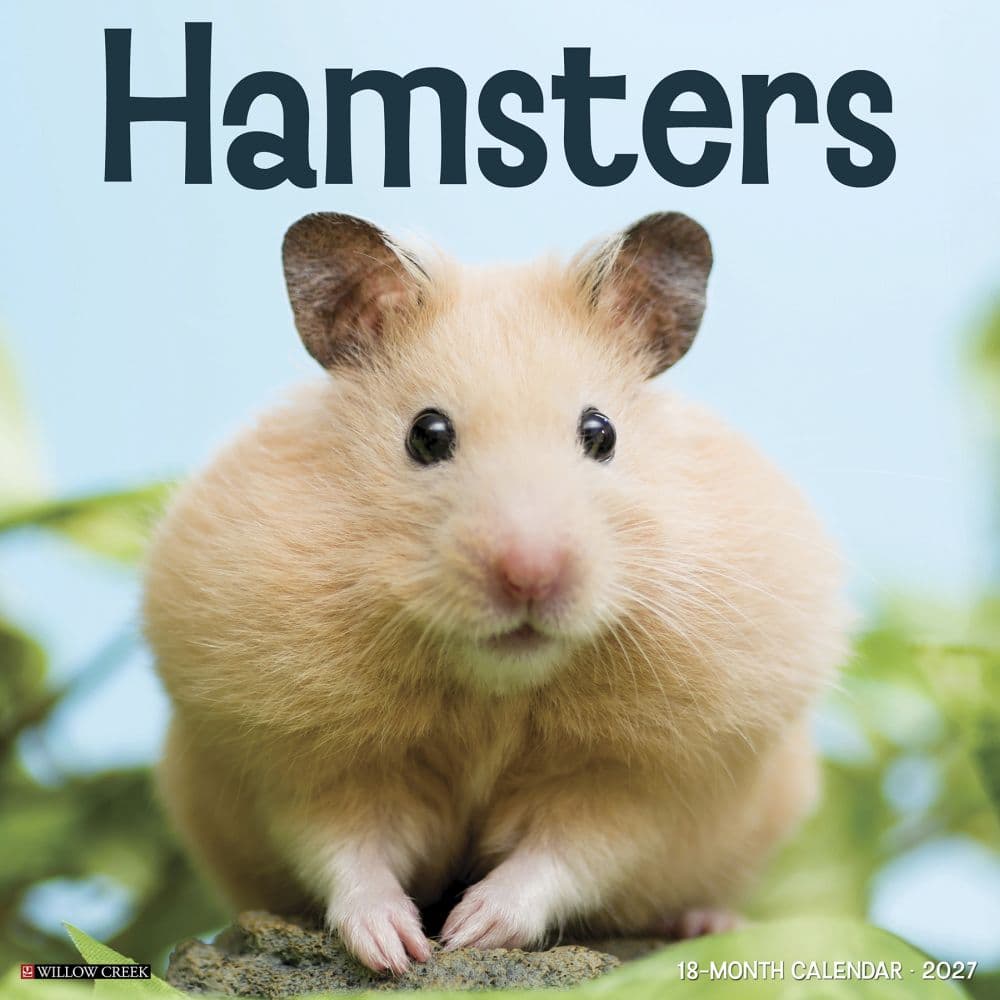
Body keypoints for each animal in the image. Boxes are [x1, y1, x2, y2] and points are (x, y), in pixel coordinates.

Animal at [144, 211, 849, 975]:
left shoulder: (637, 783)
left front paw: (470, 929)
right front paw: (398, 950)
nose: (530, 575)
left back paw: (705, 923)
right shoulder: (309, 762)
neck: (495, 690)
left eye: (600, 433)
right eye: (427, 435)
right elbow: (347, 849)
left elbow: (569, 854)